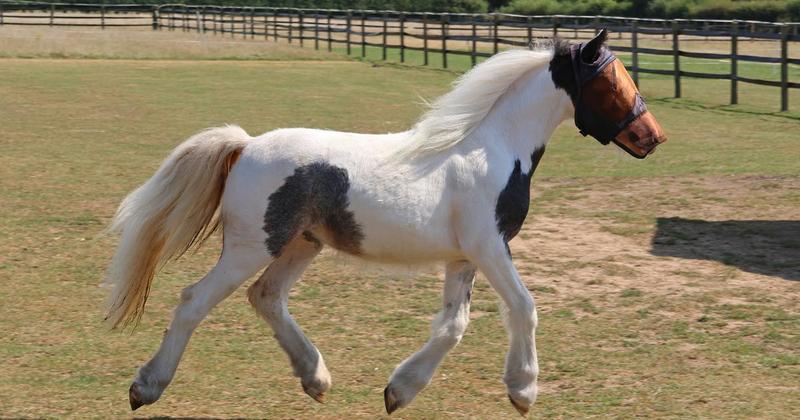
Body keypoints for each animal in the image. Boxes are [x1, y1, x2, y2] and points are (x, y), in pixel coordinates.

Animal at [104, 29, 666, 415]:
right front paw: (523, 389)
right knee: (195, 300)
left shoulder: (464, 256)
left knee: (265, 297)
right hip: (252, 246)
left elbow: (453, 326)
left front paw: (399, 390)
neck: (495, 150)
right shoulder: (490, 246)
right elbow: (525, 307)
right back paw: (145, 386)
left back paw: (316, 378)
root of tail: (245, 144)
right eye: (612, 81)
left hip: (302, 244)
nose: (652, 138)